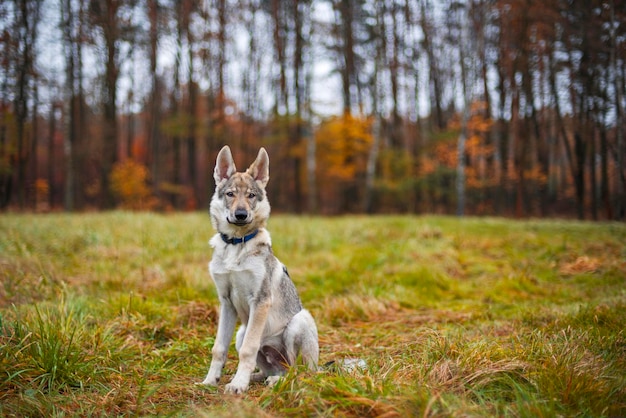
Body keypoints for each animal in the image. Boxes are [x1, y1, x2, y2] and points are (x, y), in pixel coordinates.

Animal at [200, 145, 316, 394]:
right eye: (230, 194)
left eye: (251, 195)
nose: (241, 215)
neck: (236, 244)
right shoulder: (226, 303)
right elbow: (218, 349)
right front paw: (210, 381)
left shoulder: (260, 301)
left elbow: (248, 350)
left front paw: (237, 386)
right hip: (241, 332)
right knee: (271, 370)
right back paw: (256, 377)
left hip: (297, 323)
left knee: (295, 371)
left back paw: (275, 382)